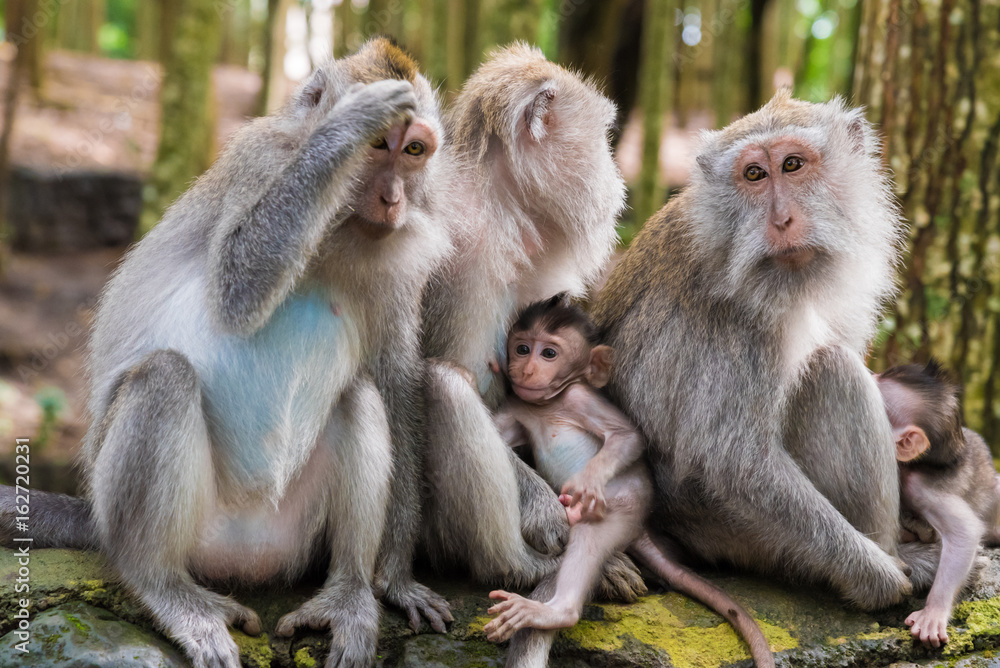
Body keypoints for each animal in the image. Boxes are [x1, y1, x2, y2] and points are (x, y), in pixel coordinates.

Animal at [0, 39, 452, 668]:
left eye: (413, 151)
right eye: (377, 146)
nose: (393, 199)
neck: (339, 226)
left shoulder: (397, 264)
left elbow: (392, 377)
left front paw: (397, 580)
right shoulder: (261, 161)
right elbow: (236, 289)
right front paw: (343, 127)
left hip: (292, 535)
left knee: (360, 394)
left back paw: (348, 593)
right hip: (175, 523)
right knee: (163, 378)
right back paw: (163, 586)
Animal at [420, 44, 645, 614]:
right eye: (602, 136)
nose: (616, 180)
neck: (503, 204)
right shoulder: (463, 261)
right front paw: (547, 514)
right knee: (443, 385)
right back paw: (522, 569)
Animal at [480, 296, 775, 668]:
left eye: (548, 353)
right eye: (522, 348)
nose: (526, 369)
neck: (548, 402)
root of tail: (641, 528)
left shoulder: (580, 398)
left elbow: (628, 437)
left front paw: (587, 481)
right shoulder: (519, 404)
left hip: (622, 507)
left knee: (589, 540)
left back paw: (557, 611)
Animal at [590, 90, 916, 612]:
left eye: (792, 164)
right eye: (755, 175)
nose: (781, 220)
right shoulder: (740, 321)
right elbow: (738, 464)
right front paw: (876, 577)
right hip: (732, 532)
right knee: (833, 370)